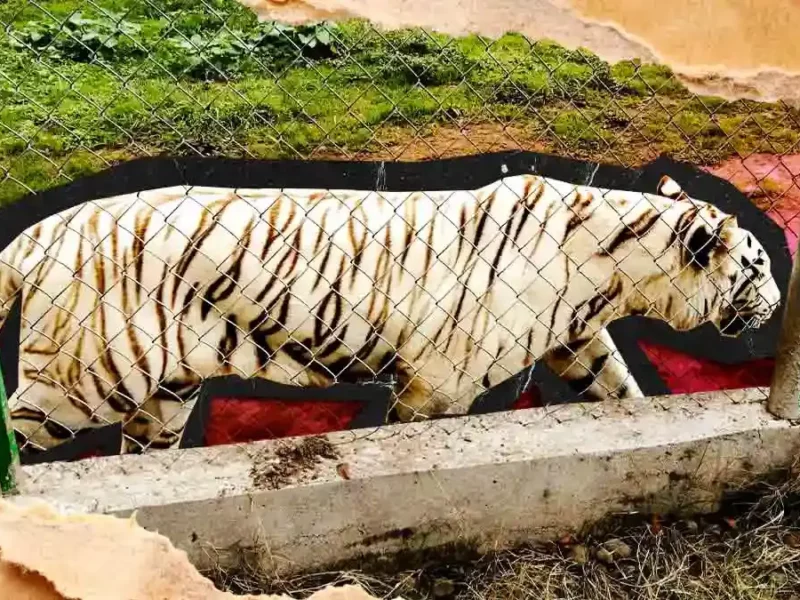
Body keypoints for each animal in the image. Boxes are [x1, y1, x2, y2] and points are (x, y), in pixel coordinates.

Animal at [0, 172, 781, 456]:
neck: (616, 272)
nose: (778, 305)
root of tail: (40, 229)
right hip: (80, 382)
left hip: (162, 396)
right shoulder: (437, 384)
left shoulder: (581, 339)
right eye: (759, 265)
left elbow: (624, 391)